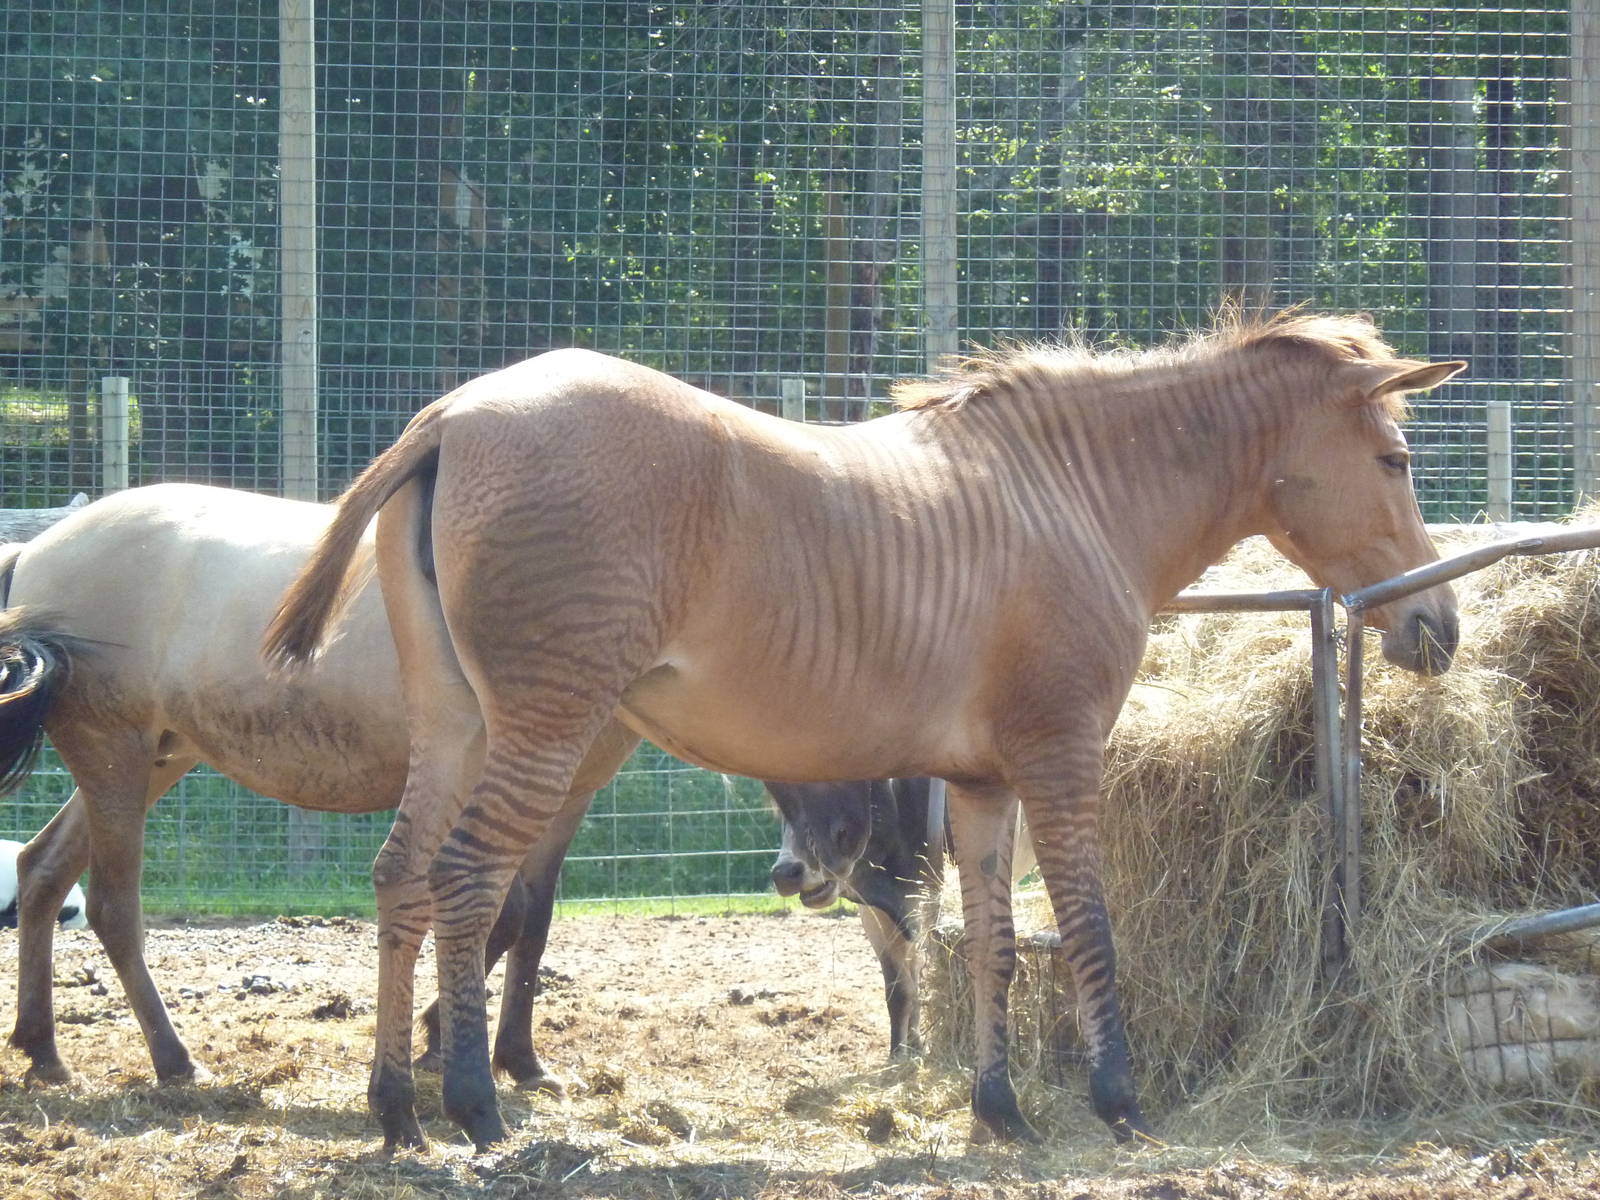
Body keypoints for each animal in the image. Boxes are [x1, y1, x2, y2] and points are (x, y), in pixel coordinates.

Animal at [265, 310, 1463, 1151]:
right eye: (1396, 462)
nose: (1437, 629)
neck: (1073, 494)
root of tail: (454, 416)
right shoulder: (1060, 757)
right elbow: (1086, 927)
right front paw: (1117, 1102)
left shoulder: (982, 782)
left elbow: (986, 943)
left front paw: (1000, 1111)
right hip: (542, 727)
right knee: (466, 882)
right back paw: (473, 1106)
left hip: (459, 726)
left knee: (401, 878)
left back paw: (394, 1109)